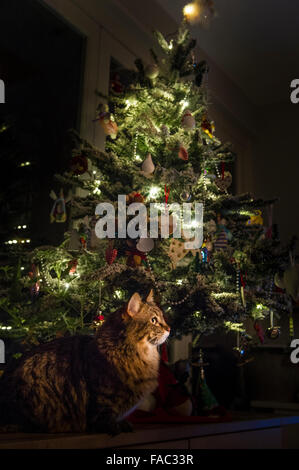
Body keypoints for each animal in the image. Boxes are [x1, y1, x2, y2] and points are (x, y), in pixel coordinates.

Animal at [0, 290, 170, 434]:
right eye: (154, 320)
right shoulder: (101, 402)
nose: (169, 329)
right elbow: (104, 419)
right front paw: (119, 426)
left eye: (163, 318)